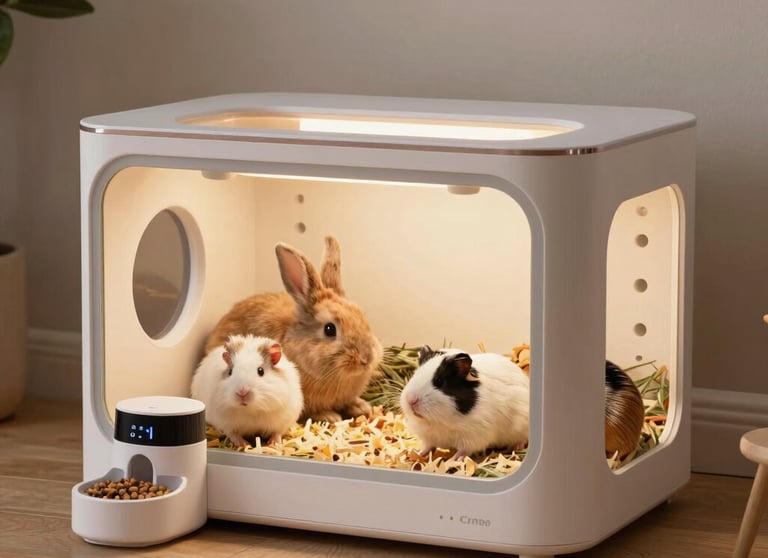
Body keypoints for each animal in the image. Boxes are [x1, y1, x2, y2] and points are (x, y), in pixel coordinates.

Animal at [400, 346, 530, 461]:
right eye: (414, 374)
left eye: (439, 381)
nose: (411, 400)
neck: (439, 421)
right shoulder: (429, 437)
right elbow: (428, 447)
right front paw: (413, 454)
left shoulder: (473, 437)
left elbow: (463, 451)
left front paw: (453, 460)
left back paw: (516, 447)